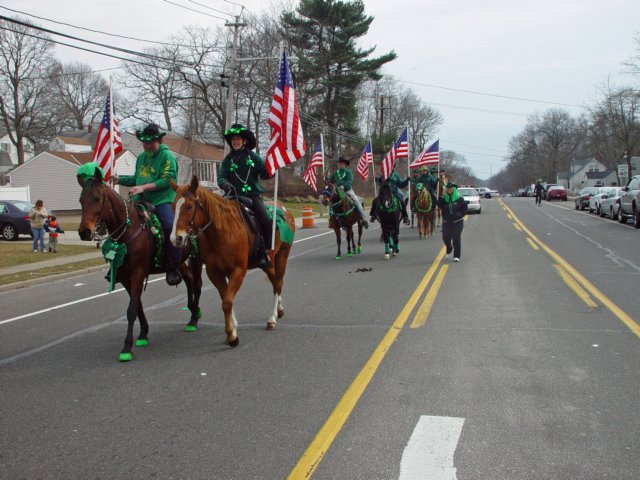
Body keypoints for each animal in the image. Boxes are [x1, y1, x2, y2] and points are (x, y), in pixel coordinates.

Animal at [76, 168, 204, 360]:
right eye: (81, 200)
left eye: (97, 198)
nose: (84, 232)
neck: (128, 231)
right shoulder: (125, 277)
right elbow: (137, 307)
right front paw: (143, 334)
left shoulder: (138, 273)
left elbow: (131, 310)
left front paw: (126, 347)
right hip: (180, 262)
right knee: (189, 280)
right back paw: (193, 314)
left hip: (197, 258)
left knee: (196, 283)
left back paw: (195, 315)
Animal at [171, 176, 298, 344]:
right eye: (173, 207)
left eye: (190, 206)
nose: (176, 238)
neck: (222, 231)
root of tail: (284, 209)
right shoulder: (214, 272)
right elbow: (226, 298)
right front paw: (233, 326)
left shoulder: (238, 271)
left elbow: (227, 302)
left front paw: (231, 335)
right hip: (267, 263)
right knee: (275, 281)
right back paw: (279, 309)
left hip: (282, 256)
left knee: (278, 283)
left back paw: (272, 318)